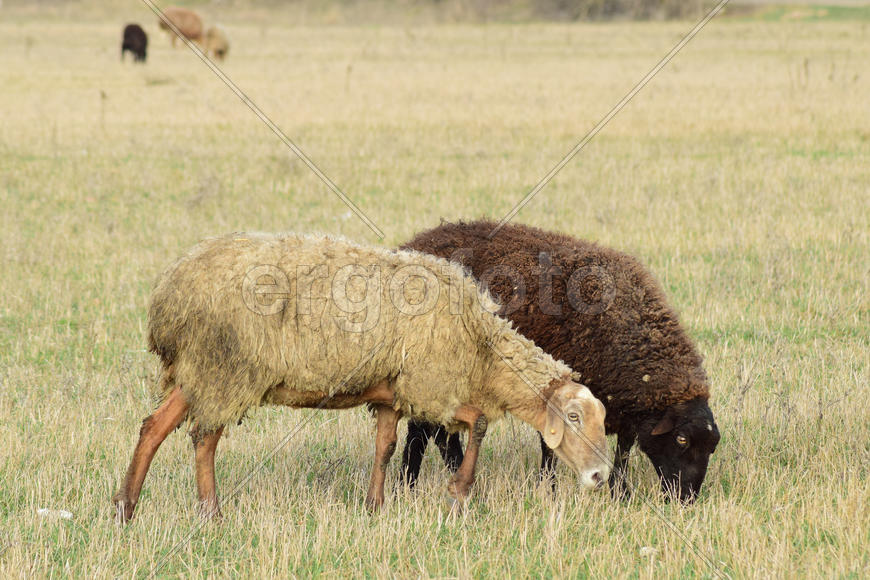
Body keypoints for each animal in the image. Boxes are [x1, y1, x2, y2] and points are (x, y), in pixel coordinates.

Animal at [112, 232, 611, 523]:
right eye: (572, 417)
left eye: (602, 420)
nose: (600, 476)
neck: (481, 349)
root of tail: (168, 293)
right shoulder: (429, 387)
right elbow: (480, 423)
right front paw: (458, 493)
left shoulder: (392, 394)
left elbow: (385, 447)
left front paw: (374, 507)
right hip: (225, 367)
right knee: (204, 438)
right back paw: (211, 514)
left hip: (198, 370)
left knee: (153, 428)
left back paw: (125, 509)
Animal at [398, 220, 721, 503]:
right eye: (681, 440)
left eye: (712, 447)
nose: (686, 500)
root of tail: (414, 243)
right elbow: (550, 444)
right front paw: (549, 490)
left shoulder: (624, 405)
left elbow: (624, 449)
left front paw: (620, 494)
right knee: (425, 432)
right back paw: (416, 483)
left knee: (432, 430)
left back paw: (433, 477)